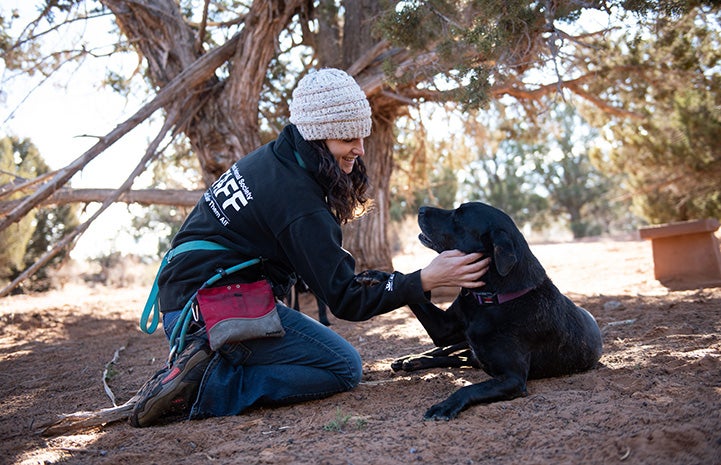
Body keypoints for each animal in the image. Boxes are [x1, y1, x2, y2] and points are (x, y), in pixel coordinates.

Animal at [394, 203, 600, 420]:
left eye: (458, 216)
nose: (421, 209)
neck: (491, 299)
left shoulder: (513, 378)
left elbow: (468, 388)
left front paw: (445, 406)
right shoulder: (444, 328)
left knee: (461, 358)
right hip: (461, 340)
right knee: (445, 351)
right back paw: (409, 359)